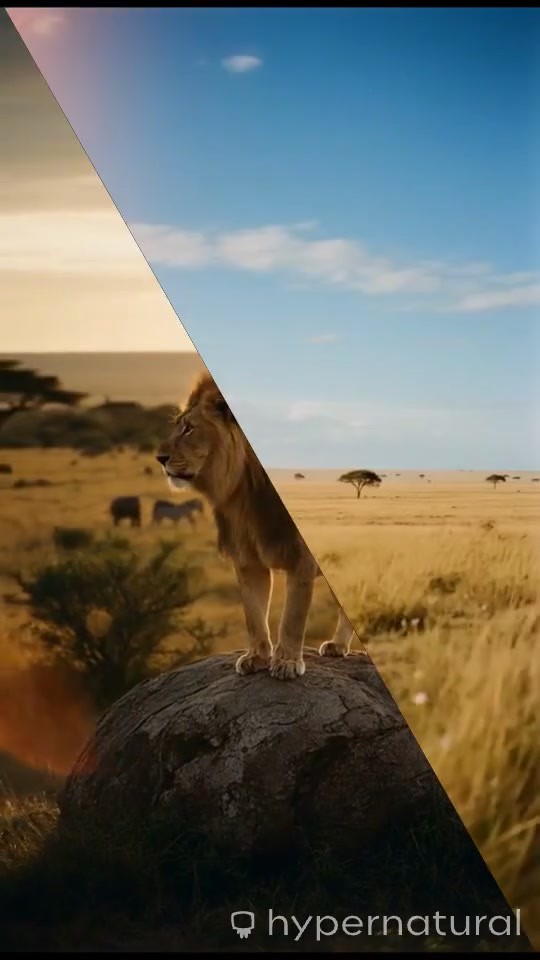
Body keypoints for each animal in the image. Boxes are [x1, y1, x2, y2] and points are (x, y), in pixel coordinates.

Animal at [156, 371, 357, 680]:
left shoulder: (301, 558)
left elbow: (292, 616)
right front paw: (257, 657)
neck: (243, 493)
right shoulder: (247, 558)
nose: (160, 458)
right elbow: (254, 613)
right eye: (178, 426)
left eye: (189, 429)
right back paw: (337, 645)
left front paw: (286, 662)